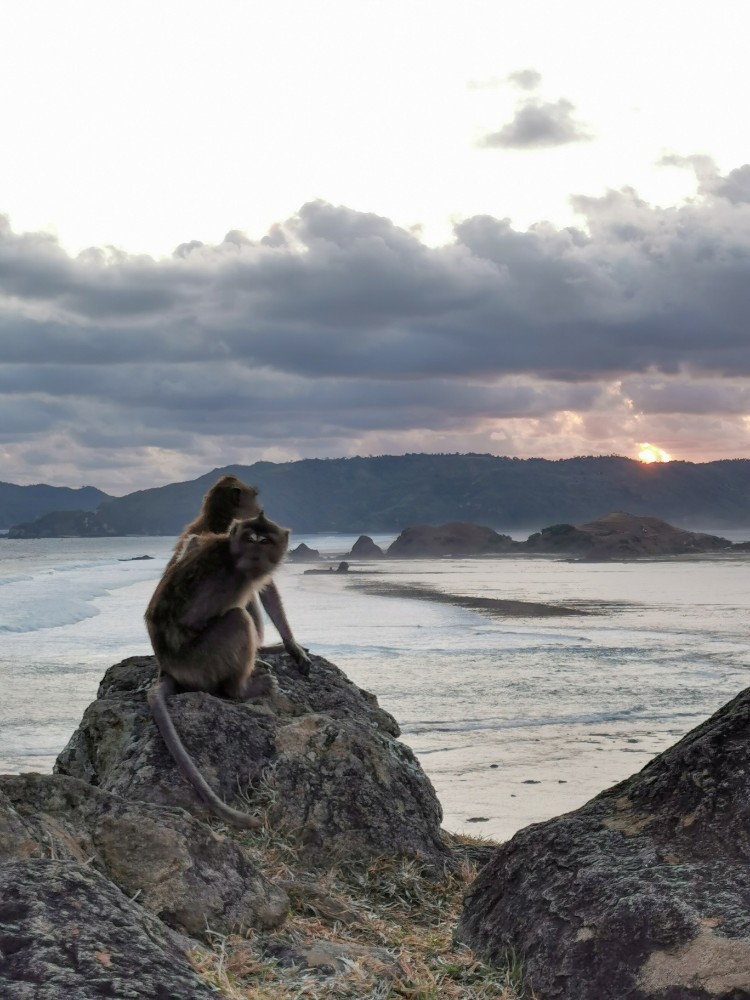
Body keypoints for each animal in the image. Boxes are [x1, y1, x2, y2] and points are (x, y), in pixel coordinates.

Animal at [145, 511, 290, 828]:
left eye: (264, 540)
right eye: (250, 538)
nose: (254, 556)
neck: (232, 553)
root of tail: (168, 666)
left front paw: (292, 645)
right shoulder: (238, 579)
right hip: (199, 661)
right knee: (237, 619)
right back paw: (242, 688)